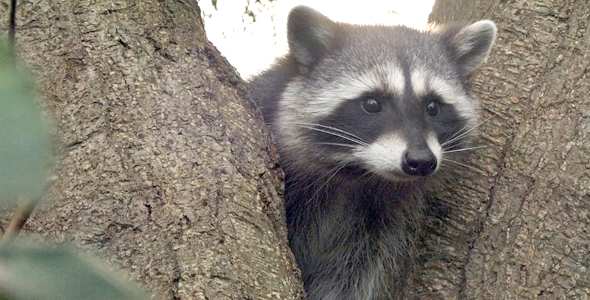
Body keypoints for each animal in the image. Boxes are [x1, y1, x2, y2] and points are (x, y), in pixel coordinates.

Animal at [247, 5, 498, 300]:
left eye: (433, 107)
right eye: (371, 104)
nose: (420, 161)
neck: (358, 176)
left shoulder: (379, 222)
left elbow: (352, 276)